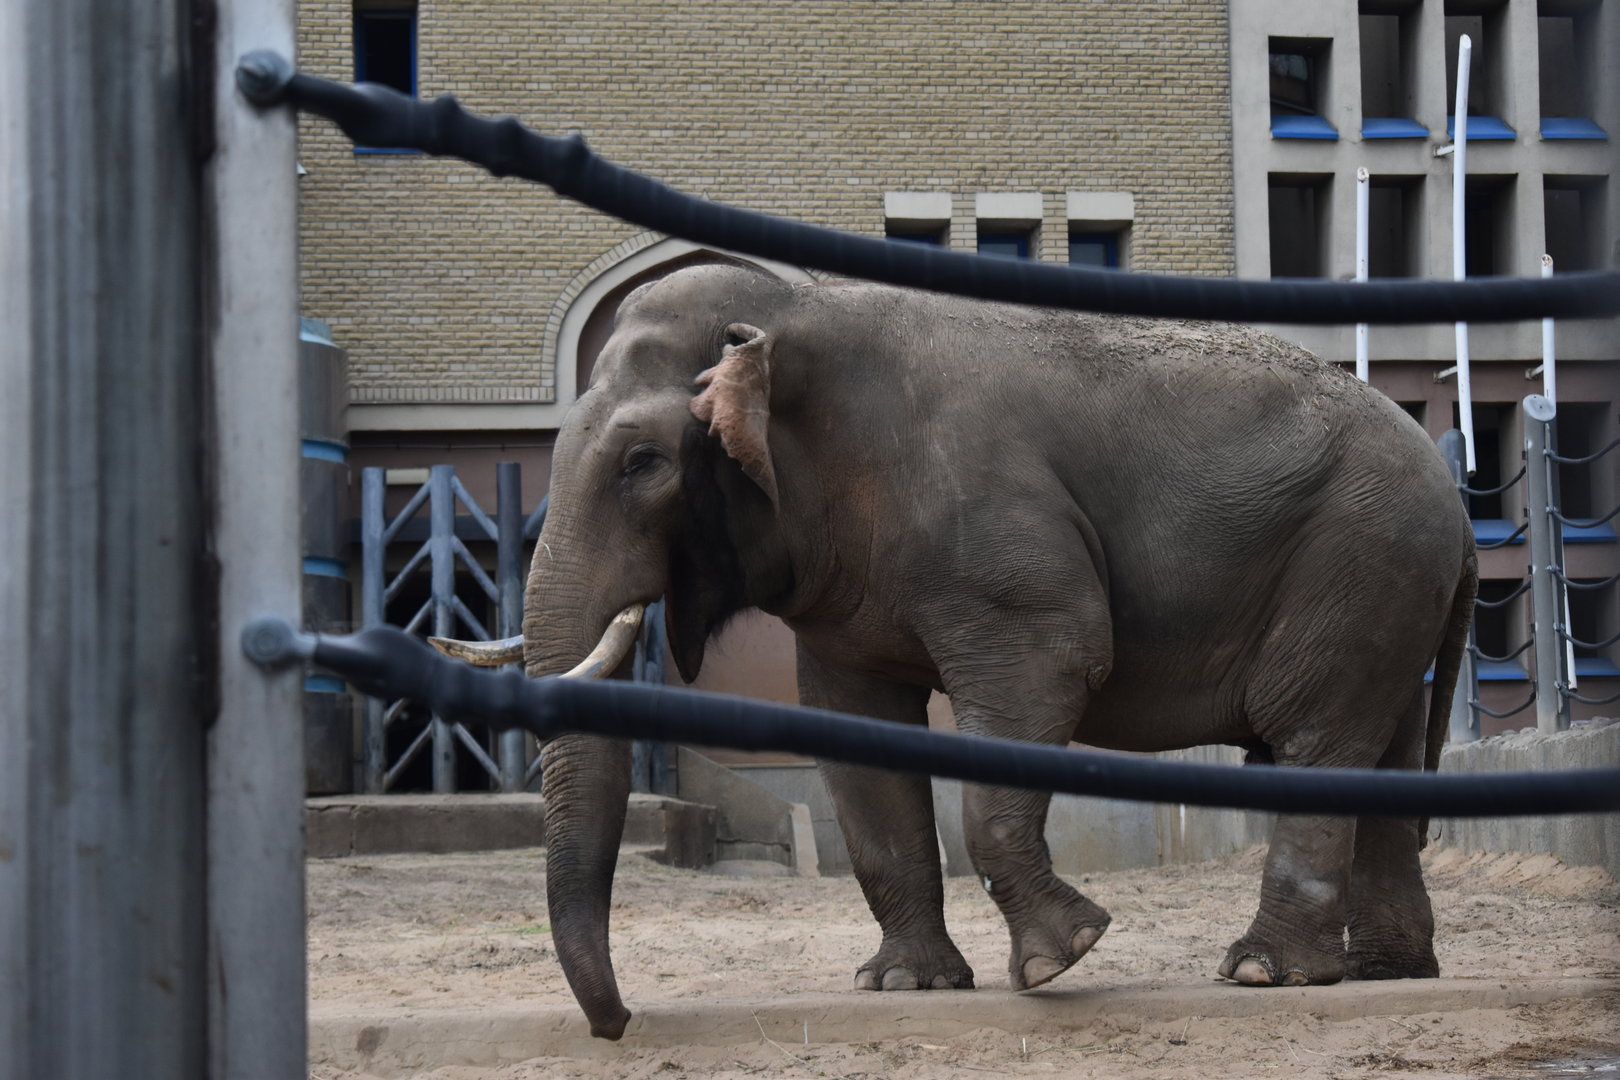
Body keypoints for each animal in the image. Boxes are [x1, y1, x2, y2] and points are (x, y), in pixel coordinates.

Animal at [447, 262, 1476, 1040]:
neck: (798, 310)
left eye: (644, 465)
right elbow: (856, 733)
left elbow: (1053, 666)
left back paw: (1266, 974)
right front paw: (905, 986)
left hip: (1361, 557)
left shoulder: (994, 539)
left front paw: (1064, 958)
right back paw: (1384, 972)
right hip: (1386, 587)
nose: (619, 1025)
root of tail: (1459, 505)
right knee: (1381, 752)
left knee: (1312, 740)